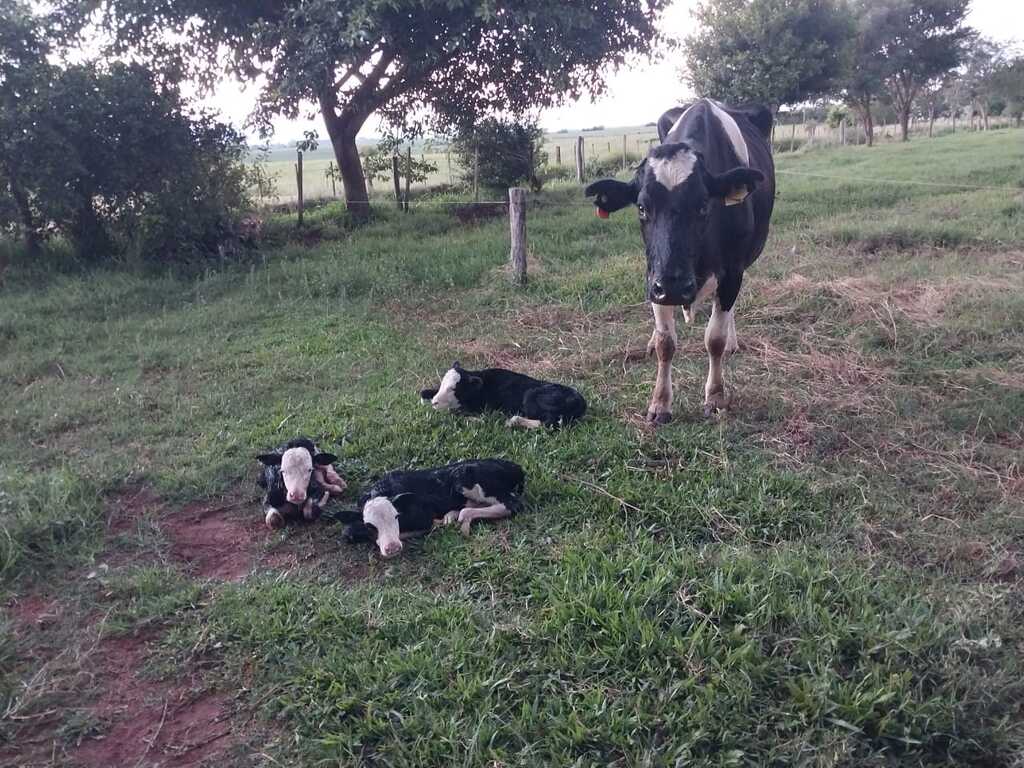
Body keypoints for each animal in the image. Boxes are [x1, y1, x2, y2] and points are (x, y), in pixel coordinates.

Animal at [334, 459, 525, 558]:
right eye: (370, 525)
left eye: (396, 517)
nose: (392, 548)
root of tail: (515, 466)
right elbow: (348, 531)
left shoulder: (423, 516)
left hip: (467, 478)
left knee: (512, 505)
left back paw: (460, 520)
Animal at [420, 362, 587, 429]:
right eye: (442, 384)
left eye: (453, 389)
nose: (434, 402)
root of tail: (580, 399)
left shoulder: (484, 409)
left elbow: (455, 413)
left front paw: (475, 420)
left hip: (531, 396)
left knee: (549, 423)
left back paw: (513, 421)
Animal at [585, 98, 775, 423]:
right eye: (641, 207)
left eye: (703, 205)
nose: (674, 287)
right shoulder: (655, 275)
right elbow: (666, 342)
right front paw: (660, 403)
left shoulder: (732, 271)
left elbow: (715, 338)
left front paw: (716, 396)